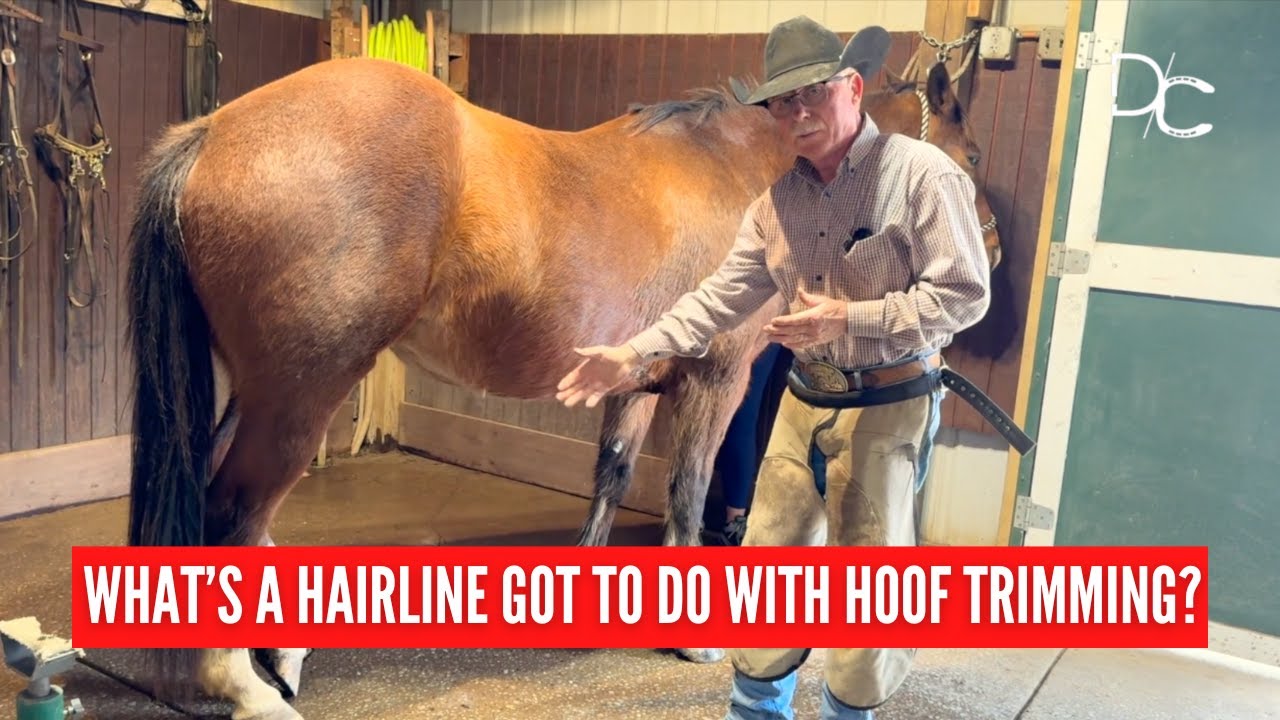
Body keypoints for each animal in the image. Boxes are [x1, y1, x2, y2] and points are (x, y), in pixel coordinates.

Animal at [122, 54, 998, 720]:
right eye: (972, 155)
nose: (985, 257)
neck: (742, 170)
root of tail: (216, 132)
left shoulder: (636, 383)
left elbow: (611, 476)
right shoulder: (712, 382)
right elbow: (688, 490)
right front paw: (694, 636)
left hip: (257, 392)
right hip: (301, 394)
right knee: (232, 513)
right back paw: (247, 684)